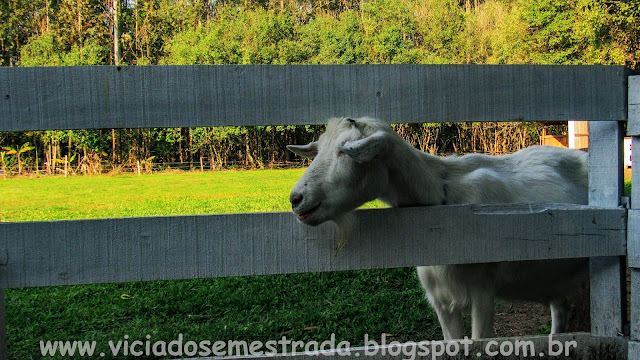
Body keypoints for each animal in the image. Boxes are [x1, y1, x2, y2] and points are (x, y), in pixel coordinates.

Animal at [288, 117, 588, 340]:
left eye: (345, 149)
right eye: (319, 151)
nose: (296, 199)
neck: (444, 198)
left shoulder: (483, 290)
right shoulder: (439, 298)